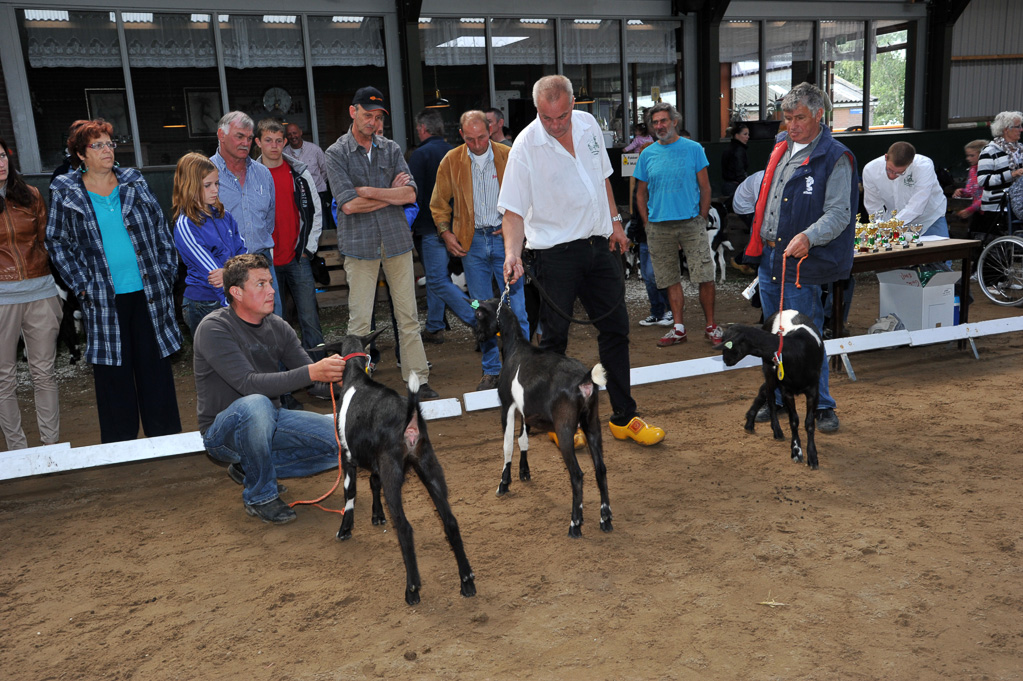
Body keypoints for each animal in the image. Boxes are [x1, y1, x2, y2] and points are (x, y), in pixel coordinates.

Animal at [323, 331, 474, 601]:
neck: (356, 377)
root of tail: (411, 415)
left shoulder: (347, 455)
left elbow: (350, 493)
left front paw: (345, 529)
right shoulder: (376, 463)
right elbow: (373, 482)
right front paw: (377, 516)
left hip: (393, 473)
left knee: (404, 527)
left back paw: (412, 588)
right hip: (428, 465)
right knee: (450, 522)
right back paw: (466, 581)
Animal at [472, 296, 609, 535]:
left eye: (478, 315)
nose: (476, 336)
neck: (516, 347)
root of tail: (585, 380)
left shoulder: (507, 406)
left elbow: (507, 444)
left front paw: (504, 483)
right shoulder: (526, 411)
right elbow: (523, 440)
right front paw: (524, 473)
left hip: (565, 428)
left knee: (577, 474)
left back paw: (575, 524)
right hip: (592, 423)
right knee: (600, 469)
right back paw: (605, 520)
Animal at [720, 310, 822, 466]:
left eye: (730, 344)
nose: (725, 360)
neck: (796, 351)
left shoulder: (813, 390)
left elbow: (809, 423)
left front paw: (812, 456)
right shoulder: (786, 391)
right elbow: (794, 421)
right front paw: (796, 451)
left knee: (764, 391)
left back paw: (750, 422)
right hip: (769, 370)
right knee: (770, 397)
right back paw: (776, 430)